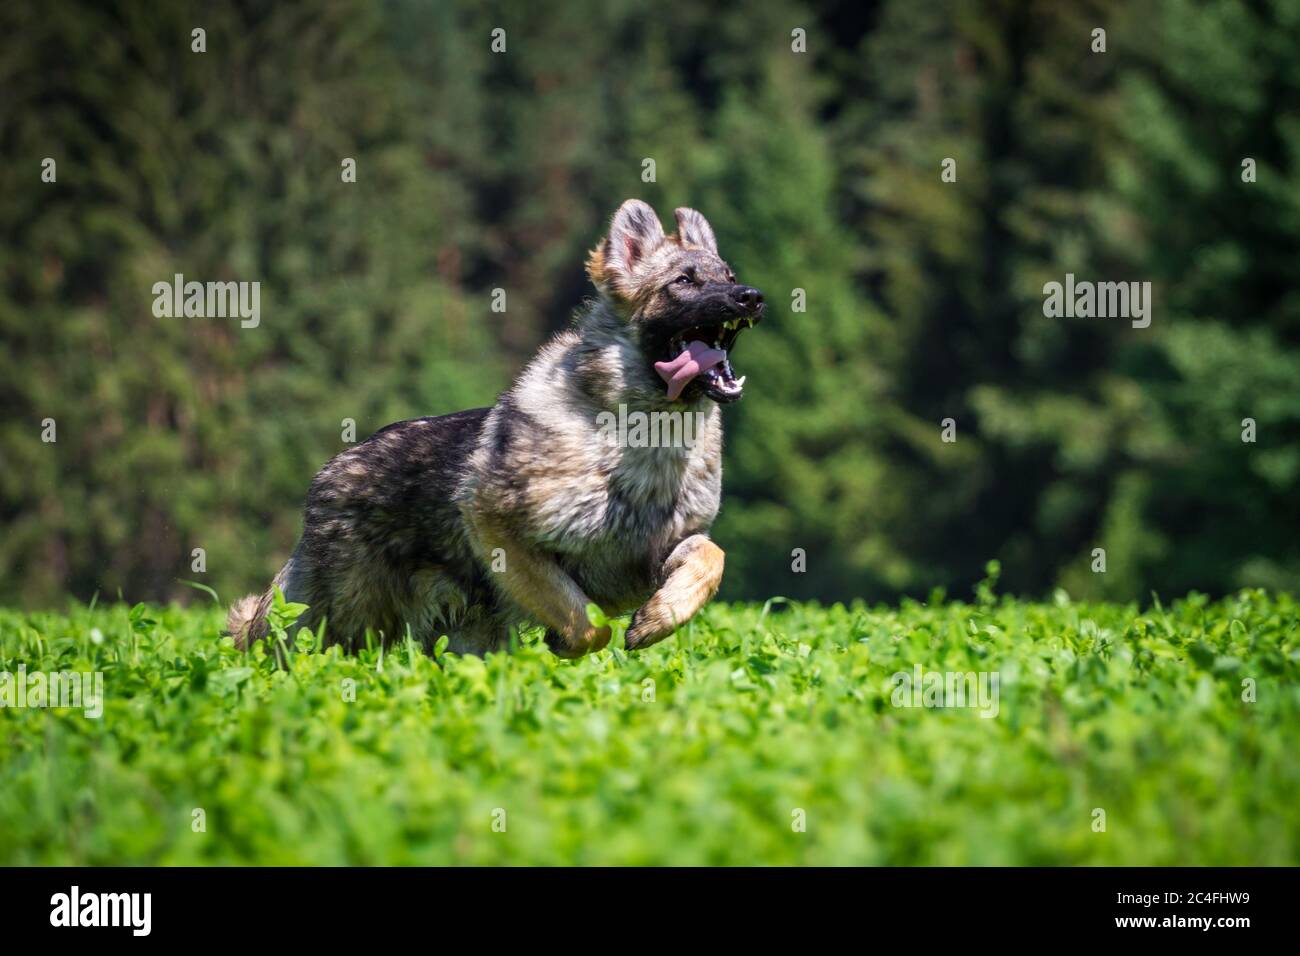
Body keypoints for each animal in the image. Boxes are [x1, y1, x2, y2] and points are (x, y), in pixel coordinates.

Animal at [228, 201, 759, 658]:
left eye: (729, 277)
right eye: (684, 281)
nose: (750, 297)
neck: (643, 433)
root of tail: (331, 471)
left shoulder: (666, 549)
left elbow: (711, 557)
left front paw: (658, 619)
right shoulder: (499, 530)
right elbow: (587, 622)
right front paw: (571, 640)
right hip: (339, 620)